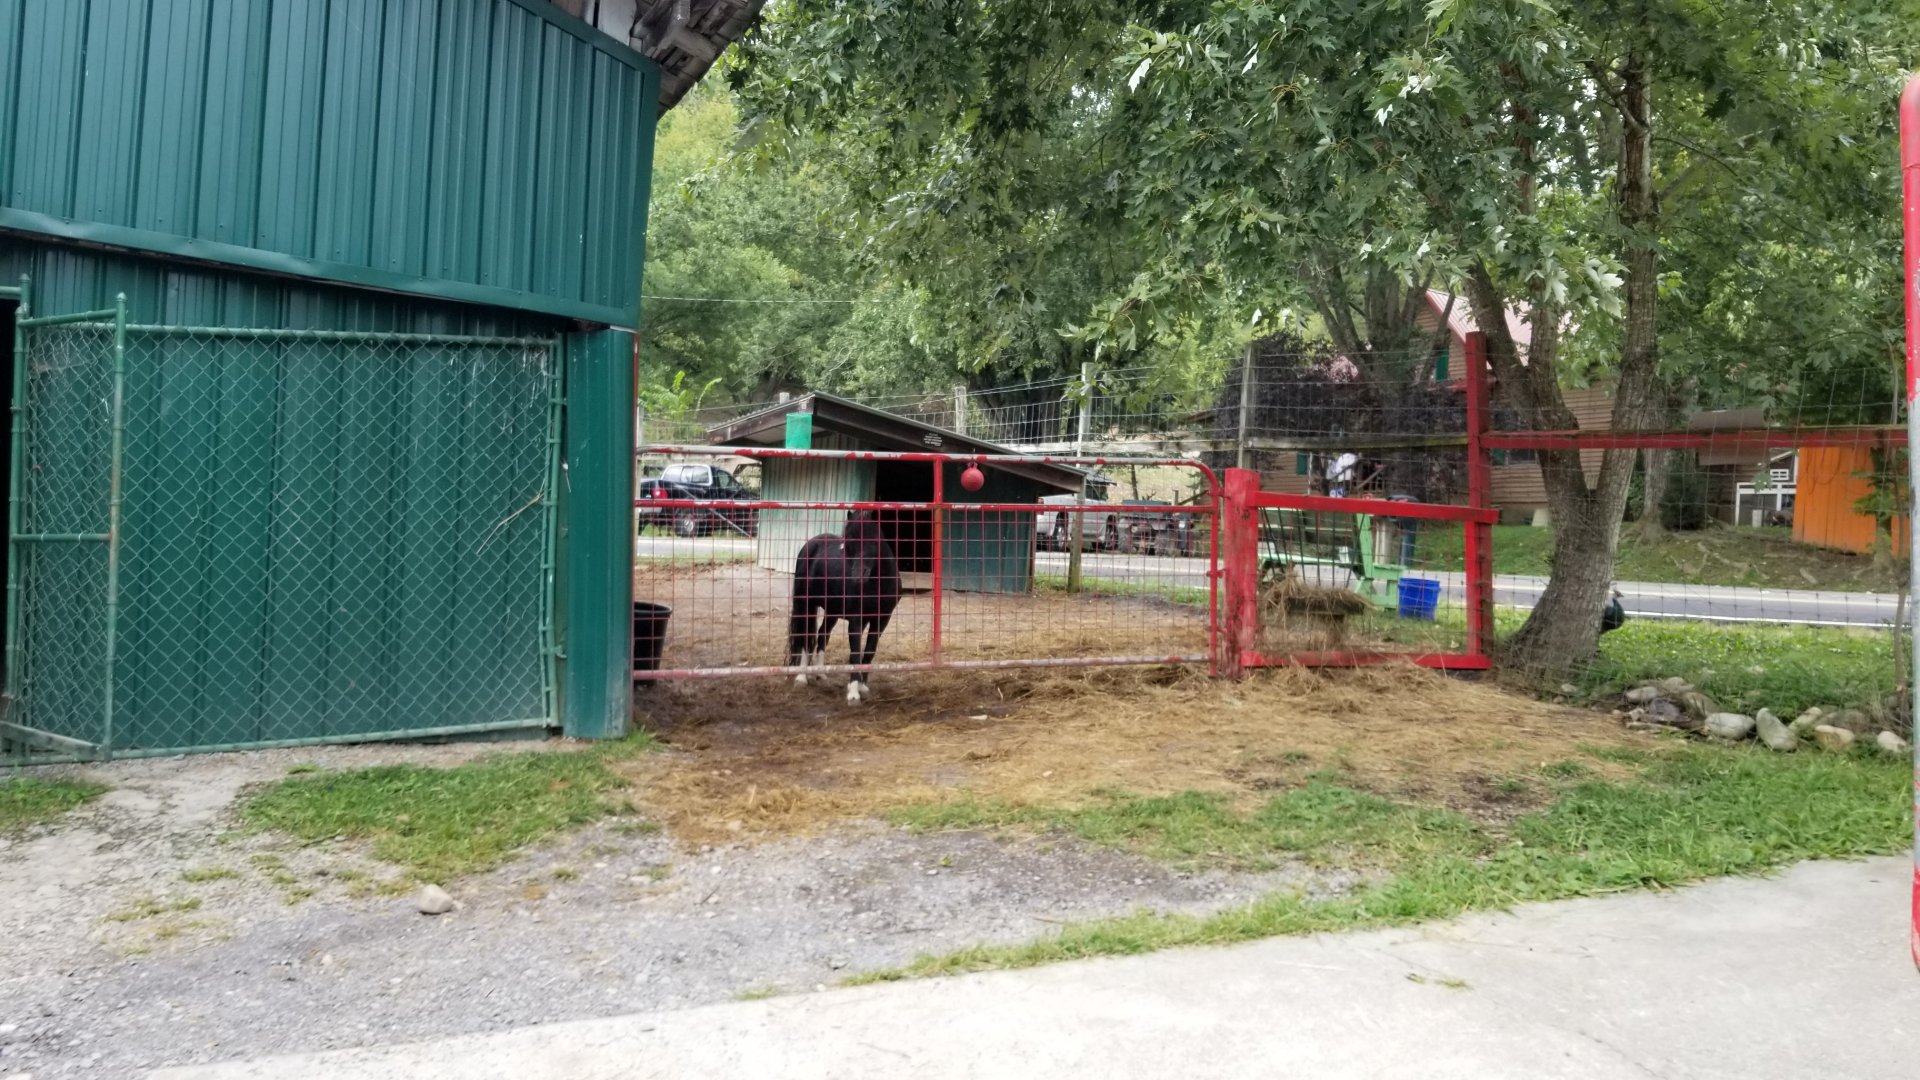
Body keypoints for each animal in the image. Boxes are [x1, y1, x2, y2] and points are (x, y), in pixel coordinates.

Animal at [787, 510, 901, 703]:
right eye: (848, 543)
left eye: (874, 539)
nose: (857, 576)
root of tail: (811, 544)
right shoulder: (856, 620)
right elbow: (855, 653)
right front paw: (853, 693)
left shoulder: (882, 619)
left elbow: (869, 651)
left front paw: (863, 687)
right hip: (805, 605)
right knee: (805, 638)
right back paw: (802, 678)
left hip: (832, 611)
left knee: (822, 635)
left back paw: (821, 675)